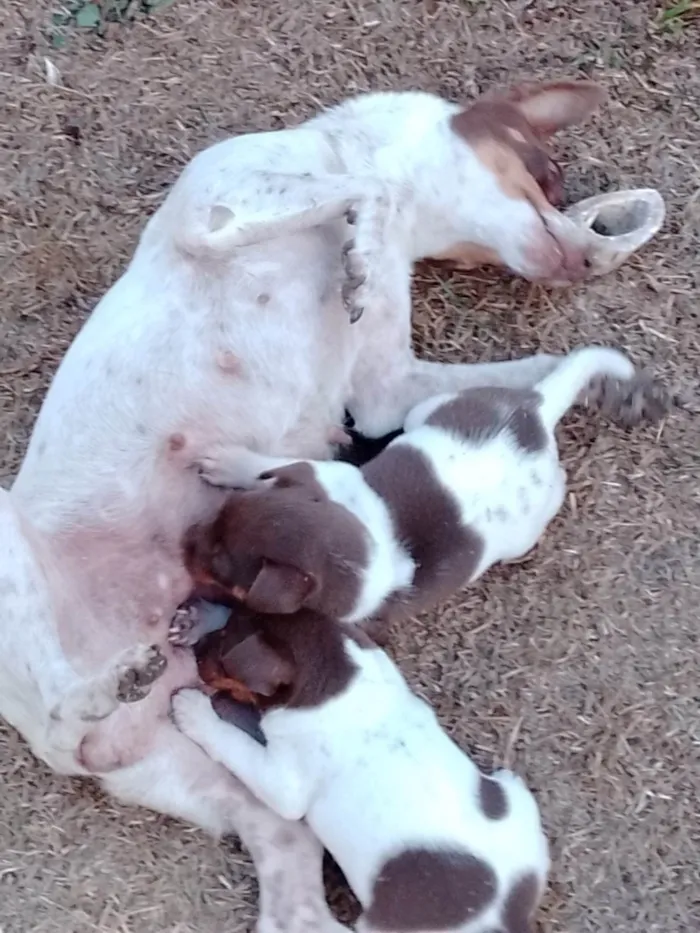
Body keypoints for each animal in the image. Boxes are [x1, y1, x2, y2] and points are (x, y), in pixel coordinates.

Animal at [172, 604, 548, 932]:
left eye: (222, 652)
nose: (197, 651)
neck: (341, 680)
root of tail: (508, 916)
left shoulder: (284, 786)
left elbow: (233, 744)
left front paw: (194, 710)